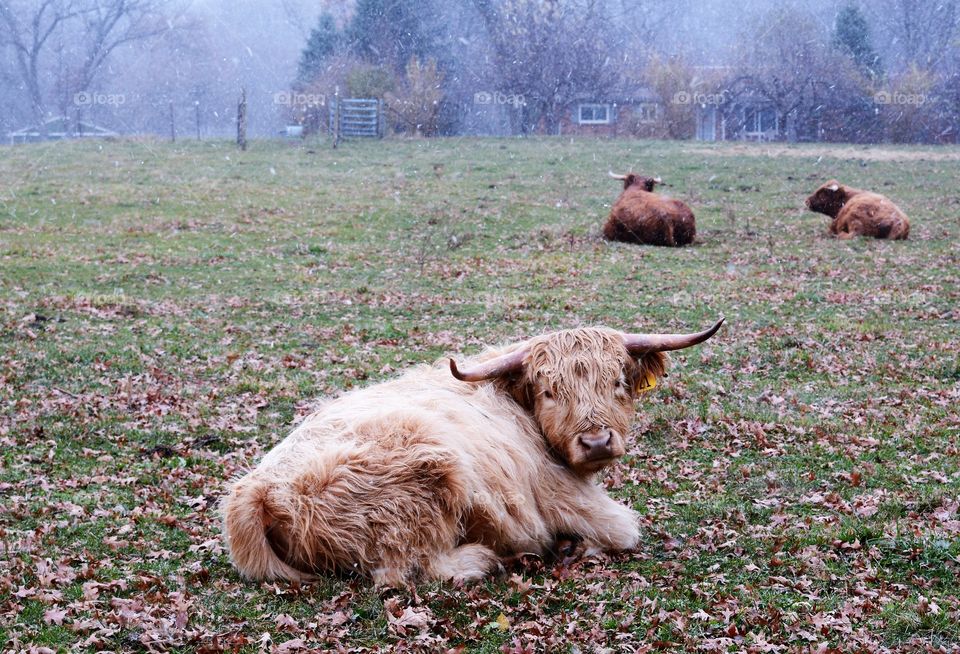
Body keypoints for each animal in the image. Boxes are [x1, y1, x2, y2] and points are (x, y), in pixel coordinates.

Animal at [221, 319, 724, 586]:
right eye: (548, 391)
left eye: (618, 381)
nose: (597, 441)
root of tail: (257, 489)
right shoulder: (564, 497)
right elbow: (625, 529)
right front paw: (572, 545)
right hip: (428, 482)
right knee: (408, 570)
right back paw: (487, 558)